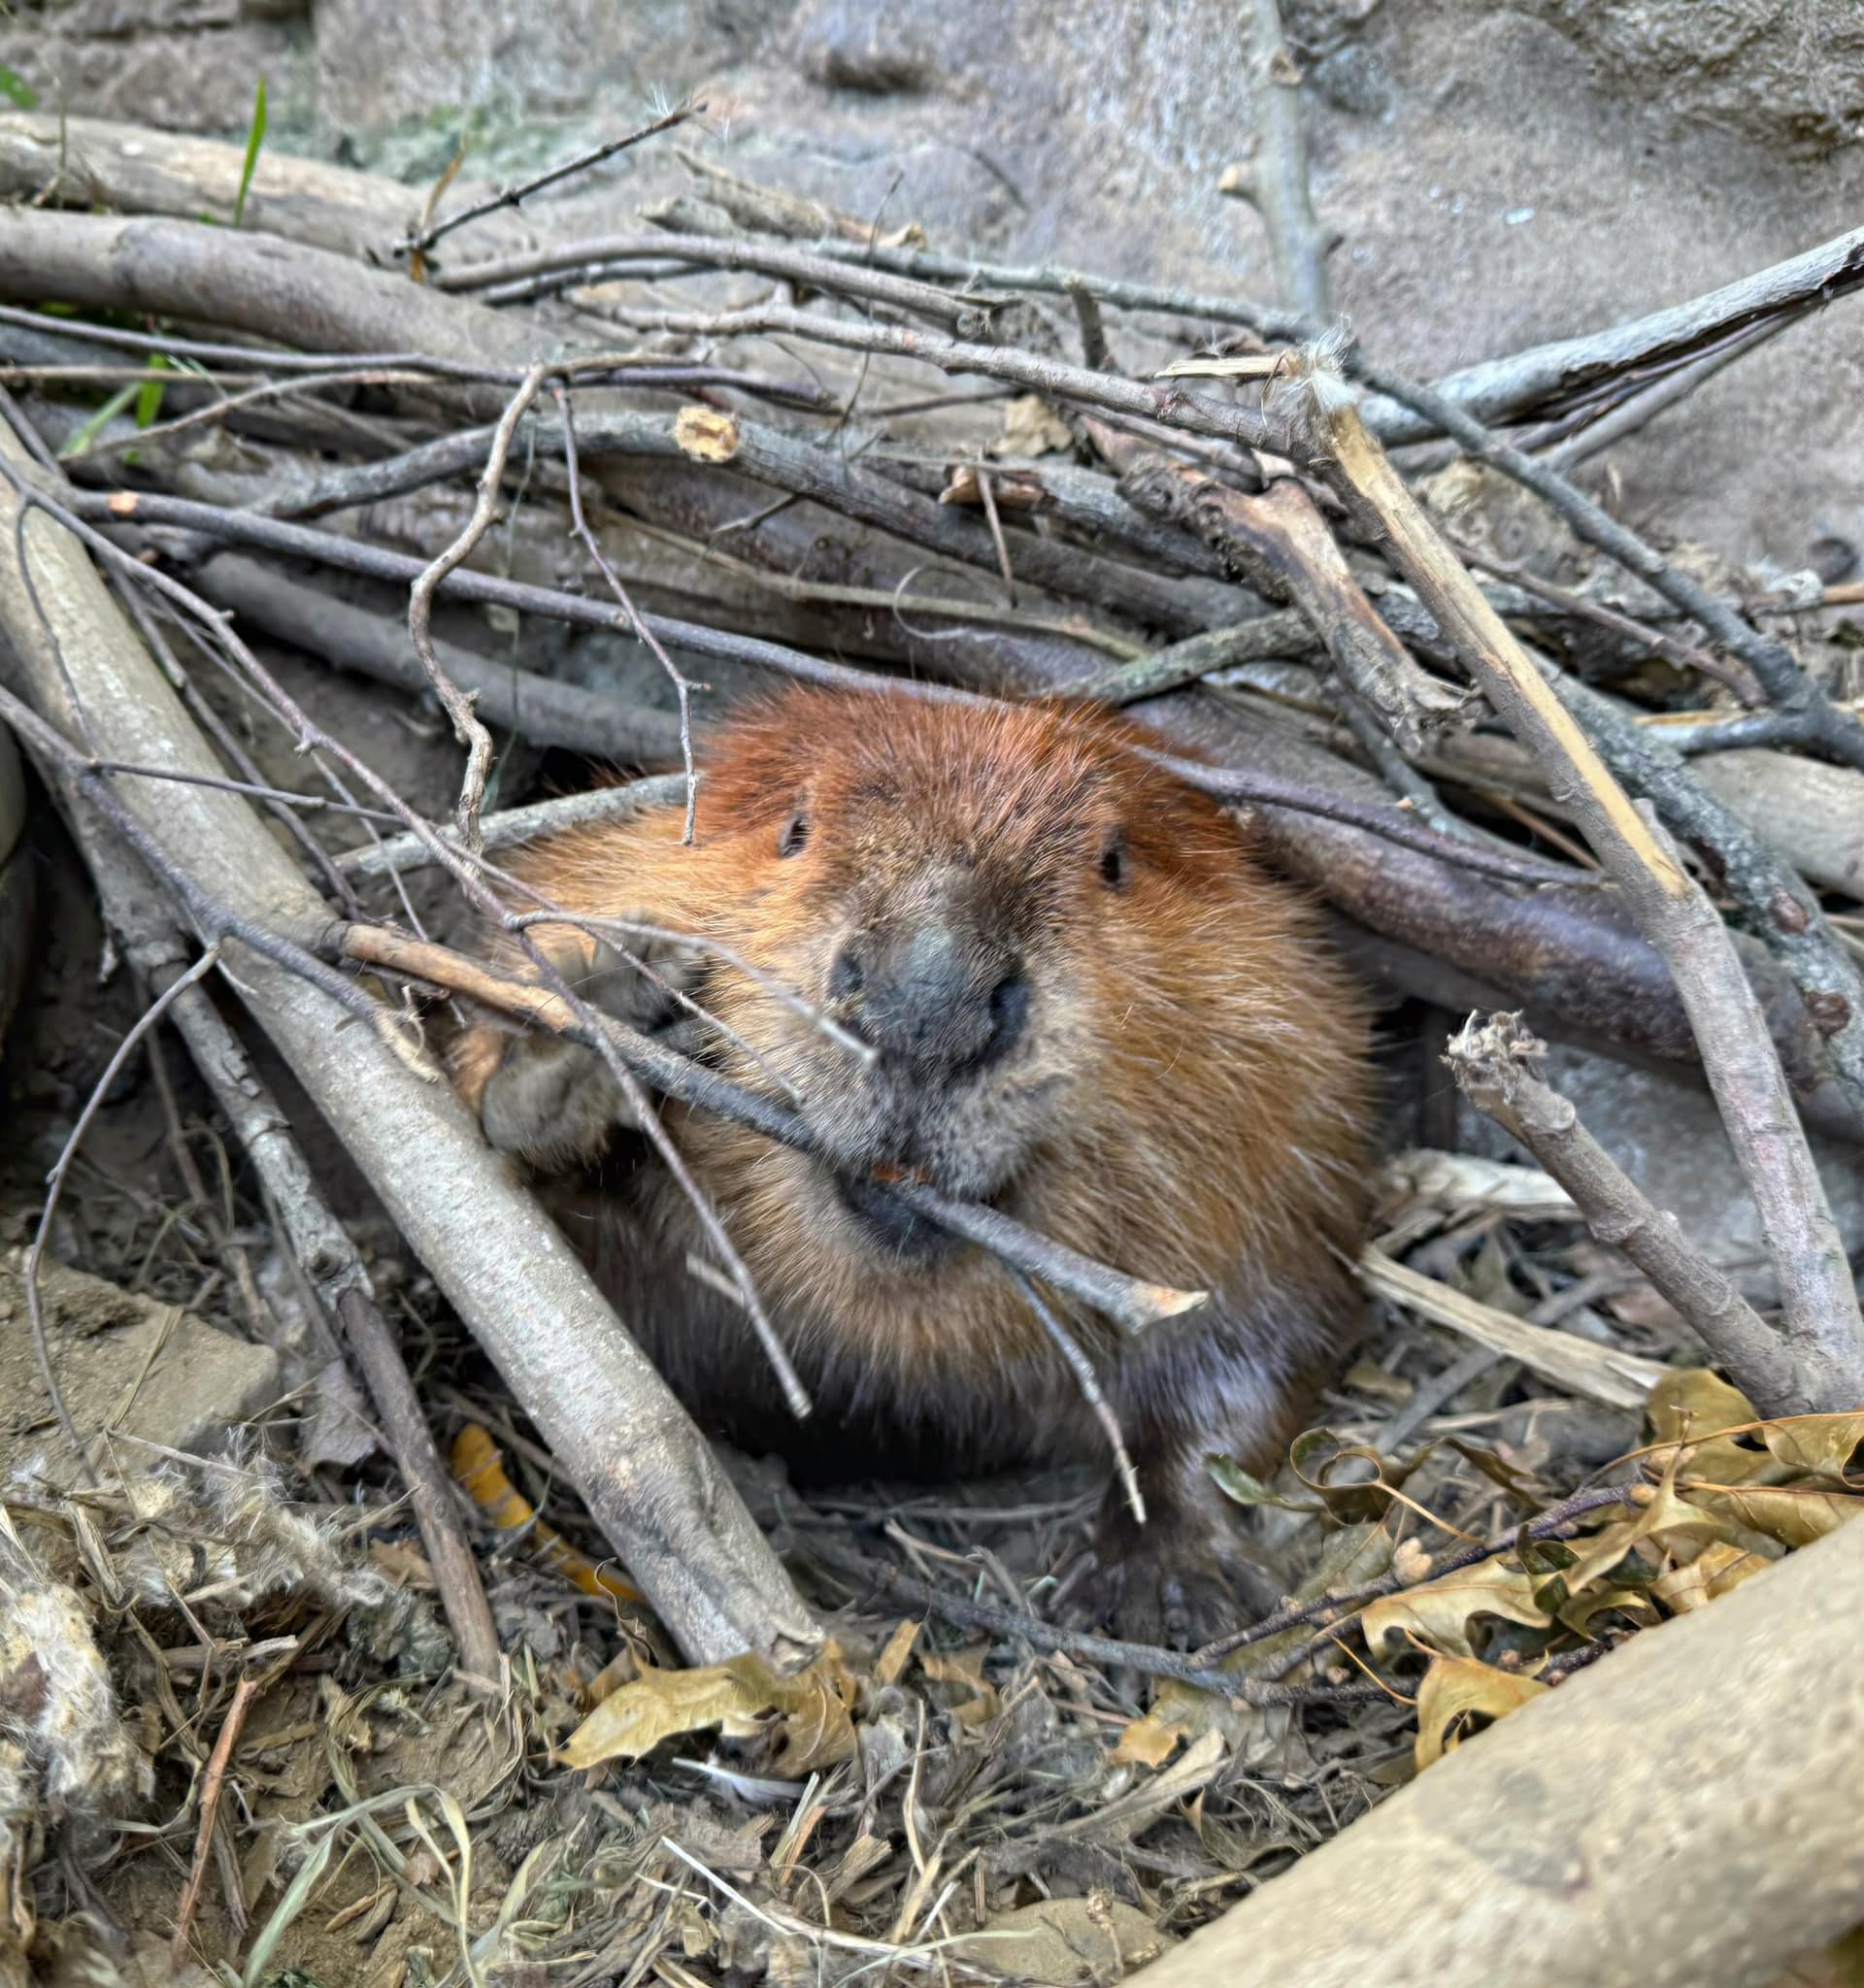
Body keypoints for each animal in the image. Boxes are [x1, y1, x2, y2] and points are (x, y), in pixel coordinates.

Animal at [454, 687, 1367, 1645]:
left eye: (1114, 860)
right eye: (796, 827)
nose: (928, 1002)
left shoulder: (1290, 1150)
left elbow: (1257, 1342)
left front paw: (1169, 1582)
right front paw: (589, 1025)